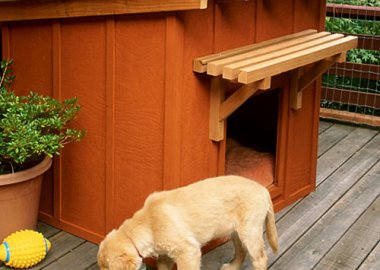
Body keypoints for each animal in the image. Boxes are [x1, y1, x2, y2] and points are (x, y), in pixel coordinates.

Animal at [97, 175, 276, 270]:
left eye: (107, 268)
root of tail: (262, 188)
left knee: (260, 258)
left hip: (250, 230)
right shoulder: (165, 255)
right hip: (236, 232)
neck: (148, 224)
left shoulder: (188, 251)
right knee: (241, 250)